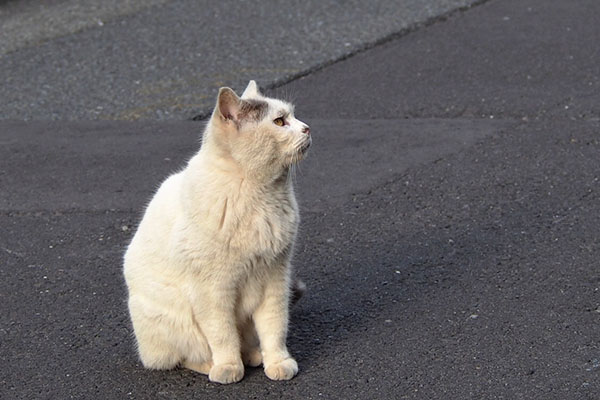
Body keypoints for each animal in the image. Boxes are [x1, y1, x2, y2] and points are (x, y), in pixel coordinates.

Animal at [122, 80, 310, 384]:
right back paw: (212, 365)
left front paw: (278, 363)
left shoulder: (276, 277)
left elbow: (275, 327)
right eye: (280, 122)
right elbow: (223, 335)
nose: (307, 128)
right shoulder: (212, 290)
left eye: (292, 116)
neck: (259, 194)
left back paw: (254, 356)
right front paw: (229, 368)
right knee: (181, 357)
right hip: (172, 318)